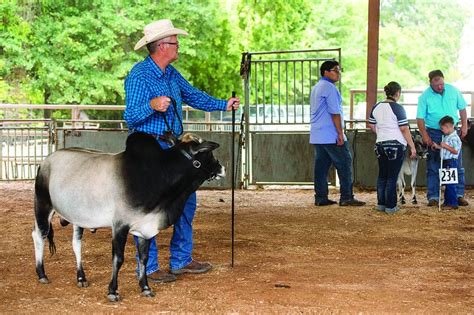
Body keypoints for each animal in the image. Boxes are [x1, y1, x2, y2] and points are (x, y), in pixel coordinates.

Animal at [32, 132, 225, 302]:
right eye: (207, 153)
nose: (222, 168)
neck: (156, 175)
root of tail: (46, 160)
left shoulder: (146, 228)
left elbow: (143, 259)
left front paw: (145, 288)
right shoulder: (120, 226)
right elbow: (118, 259)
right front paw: (112, 291)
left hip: (78, 217)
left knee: (76, 243)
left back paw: (81, 278)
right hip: (43, 205)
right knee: (39, 235)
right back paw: (42, 274)